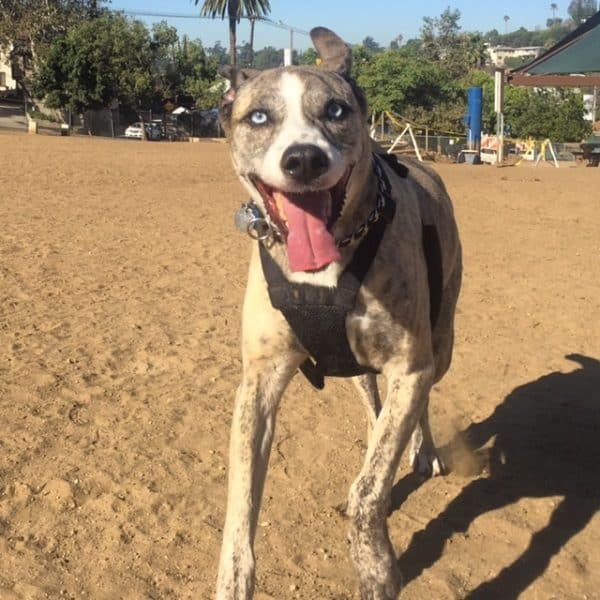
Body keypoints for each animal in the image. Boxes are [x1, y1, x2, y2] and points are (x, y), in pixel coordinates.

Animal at [217, 27, 464, 600]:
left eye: (335, 110)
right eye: (258, 117)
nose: (303, 159)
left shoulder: (410, 366)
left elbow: (371, 488)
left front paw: (375, 565)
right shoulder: (258, 383)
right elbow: (241, 499)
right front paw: (232, 580)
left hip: (439, 345)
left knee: (414, 410)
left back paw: (421, 451)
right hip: (358, 371)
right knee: (375, 414)